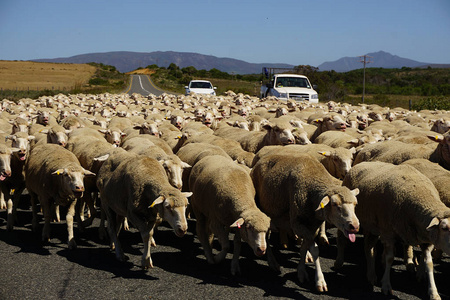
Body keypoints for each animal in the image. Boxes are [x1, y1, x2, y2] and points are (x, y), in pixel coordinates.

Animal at [251, 151, 360, 292]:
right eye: (335, 204)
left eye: (355, 204)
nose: (354, 226)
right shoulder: (297, 223)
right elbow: (312, 247)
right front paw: (316, 279)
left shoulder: (312, 225)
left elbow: (307, 247)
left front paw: (304, 271)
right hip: (263, 209)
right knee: (266, 236)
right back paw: (272, 262)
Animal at [342, 163, 450, 298]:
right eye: (444, 228)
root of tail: (359, 164)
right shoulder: (388, 233)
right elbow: (390, 258)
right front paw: (386, 286)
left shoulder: (426, 240)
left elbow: (429, 264)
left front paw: (433, 293)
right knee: (367, 247)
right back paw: (370, 275)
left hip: (373, 226)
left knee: (369, 247)